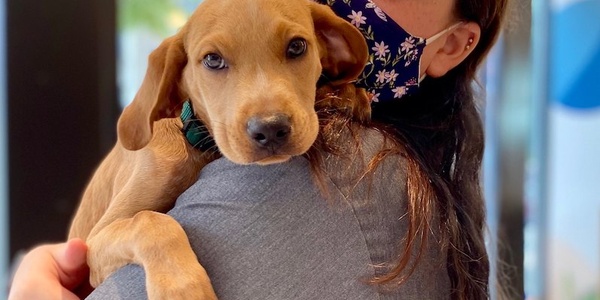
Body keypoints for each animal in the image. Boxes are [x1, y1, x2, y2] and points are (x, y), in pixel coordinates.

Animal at [70, 0, 370, 298]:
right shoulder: (96, 241)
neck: (196, 141)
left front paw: (347, 95)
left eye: (297, 46)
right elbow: (150, 221)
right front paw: (183, 287)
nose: (270, 129)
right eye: (212, 60)